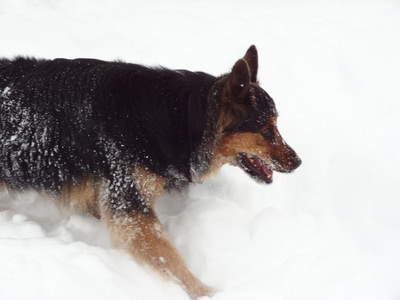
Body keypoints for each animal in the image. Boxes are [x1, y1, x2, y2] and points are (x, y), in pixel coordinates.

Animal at [0, 45, 300, 298]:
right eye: (266, 130)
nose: (298, 162)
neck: (175, 118)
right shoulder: (129, 206)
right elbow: (168, 256)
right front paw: (206, 292)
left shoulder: (112, 199)